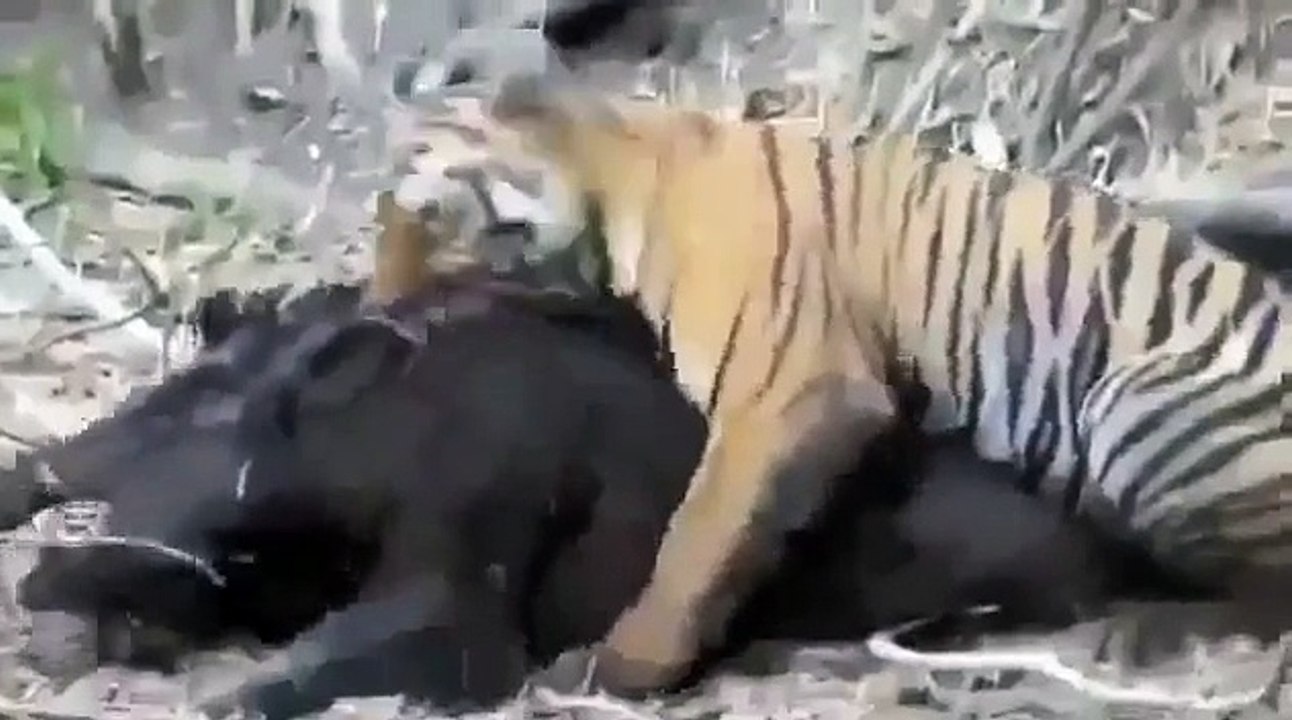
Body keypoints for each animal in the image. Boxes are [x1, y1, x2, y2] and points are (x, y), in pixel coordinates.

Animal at [378, 72, 1291, 695]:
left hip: (1132, 404)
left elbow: (696, 539)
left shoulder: (787, 389)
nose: (380, 309)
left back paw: (1142, 629)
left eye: (425, 217)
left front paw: (621, 664)